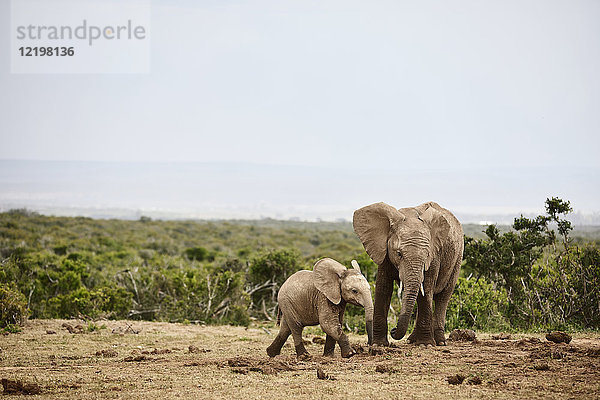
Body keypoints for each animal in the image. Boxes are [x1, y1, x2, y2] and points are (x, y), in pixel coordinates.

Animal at [352, 202, 464, 346]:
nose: (393, 330)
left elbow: (426, 289)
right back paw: (412, 340)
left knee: (443, 297)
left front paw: (425, 344)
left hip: (457, 258)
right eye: (399, 254)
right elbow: (383, 288)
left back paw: (439, 342)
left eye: (427, 255)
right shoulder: (384, 252)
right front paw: (379, 344)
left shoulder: (434, 256)